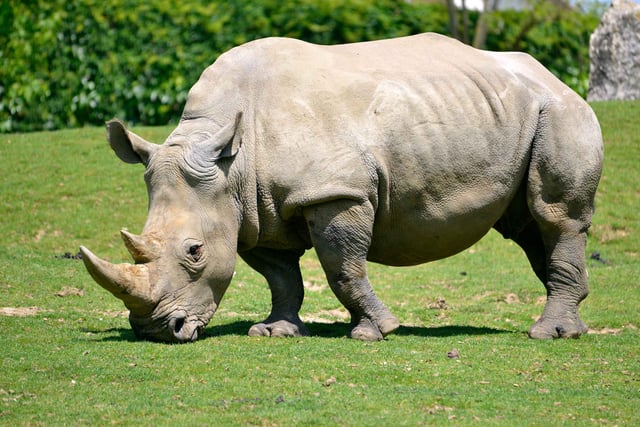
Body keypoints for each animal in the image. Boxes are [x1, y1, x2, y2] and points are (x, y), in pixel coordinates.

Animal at [80, 33, 603, 343]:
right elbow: (280, 275)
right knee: (528, 228)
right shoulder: (254, 208)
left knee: (555, 216)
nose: (154, 330)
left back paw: (548, 334)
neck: (232, 161)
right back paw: (569, 326)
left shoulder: (335, 191)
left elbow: (342, 268)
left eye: (194, 252)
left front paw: (374, 333)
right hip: (511, 112)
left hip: (560, 112)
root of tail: (556, 77)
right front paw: (274, 331)